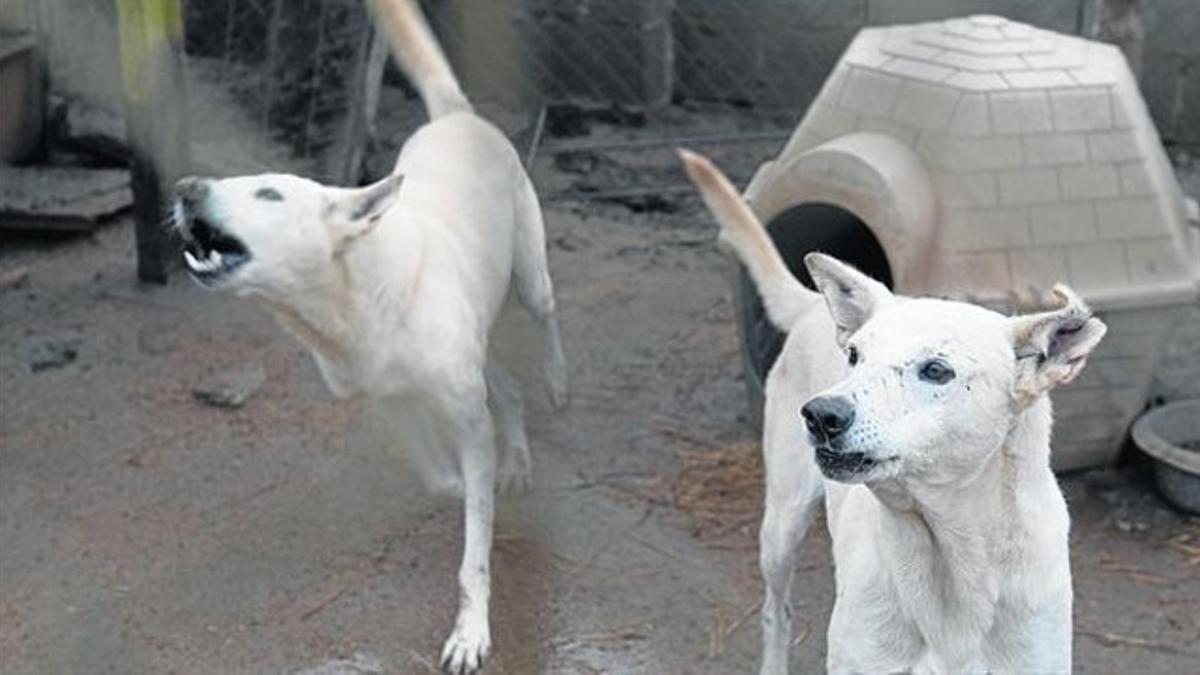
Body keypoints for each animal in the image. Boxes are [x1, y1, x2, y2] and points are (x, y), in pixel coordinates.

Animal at [174, 2, 571, 667]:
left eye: (269, 192)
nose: (185, 189)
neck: (354, 306)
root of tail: (457, 115)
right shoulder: (384, 396)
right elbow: (437, 470)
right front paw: (461, 481)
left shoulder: (466, 414)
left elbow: (474, 553)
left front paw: (470, 634)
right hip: (479, 335)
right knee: (506, 386)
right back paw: (514, 458)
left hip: (530, 276)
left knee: (545, 321)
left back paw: (556, 386)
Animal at [686, 149, 1104, 667]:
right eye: (853, 356)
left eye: (936, 370)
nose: (820, 414)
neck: (950, 557)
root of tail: (813, 306)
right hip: (781, 527)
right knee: (776, 612)